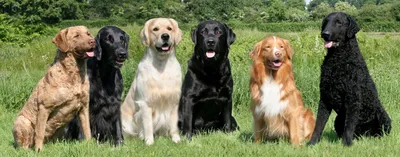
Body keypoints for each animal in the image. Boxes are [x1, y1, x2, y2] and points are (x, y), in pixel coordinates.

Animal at [121, 17, 184, 145]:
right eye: (155, 29)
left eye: (169, 28)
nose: (165, 36)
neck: (161, 65)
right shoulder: (145, 103)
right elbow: (148, 125)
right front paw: (149, 141)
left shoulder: (174, 101)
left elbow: (174, 124)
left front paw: (176, 139)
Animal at [308, 11, 392, 146]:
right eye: (326, 22)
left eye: (338, 22)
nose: (325, 34)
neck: (337, 61)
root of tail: (365, 135)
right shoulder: (325, 99)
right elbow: (318, 125)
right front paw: (312, 143)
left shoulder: (353, 98)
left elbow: (349, 125)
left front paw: (346, 145)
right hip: (338, 119)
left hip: (382, 115)